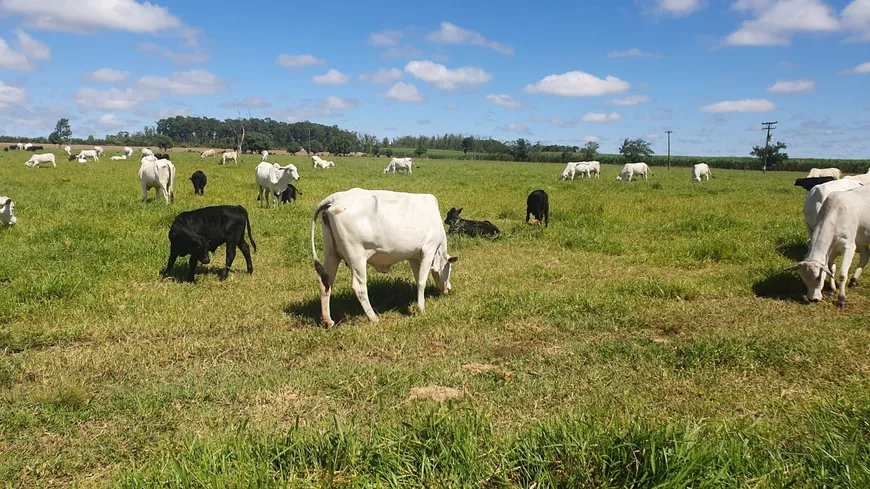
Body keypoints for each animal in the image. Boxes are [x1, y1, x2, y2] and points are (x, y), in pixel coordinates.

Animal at [314, 189, 464, 326]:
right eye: (449, 267)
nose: (448, 288)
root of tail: (335, 198)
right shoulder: (429, 249)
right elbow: (422, 281)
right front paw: (421, 309)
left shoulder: (415, 257)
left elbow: (418, 279)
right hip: (357, 257)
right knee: (359, 287)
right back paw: (373, 317)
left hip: (331, 254)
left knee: (325, 283)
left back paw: (328, 320)